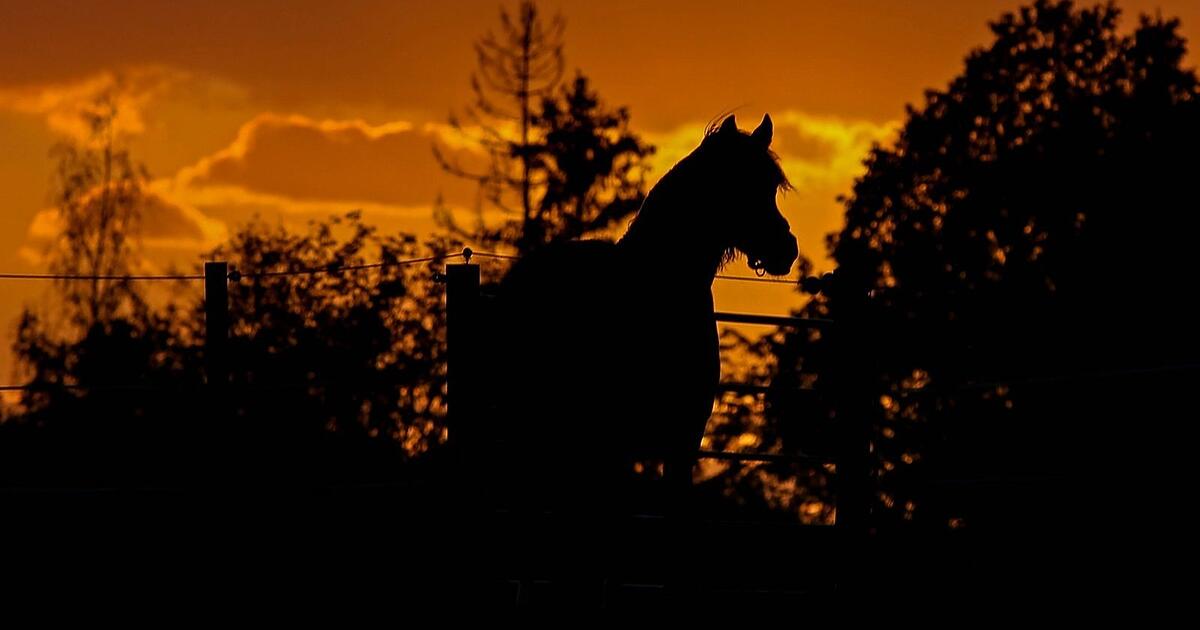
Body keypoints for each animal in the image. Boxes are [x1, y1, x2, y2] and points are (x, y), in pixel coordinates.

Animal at [486, 114, 798, 516]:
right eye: (739, 182)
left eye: (771, 185)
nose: (786, 248)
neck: (655, 287)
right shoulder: (616, 442)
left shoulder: (684, 439)